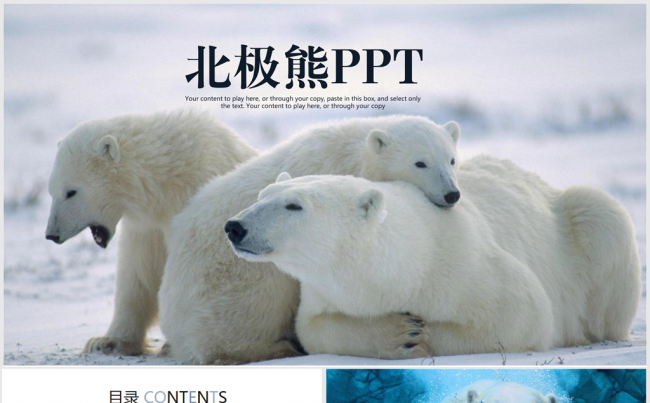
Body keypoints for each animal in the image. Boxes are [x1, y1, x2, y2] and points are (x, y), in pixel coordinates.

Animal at [45, 109, 258, 356]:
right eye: (51, 191)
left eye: (71, 192)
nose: (51, 234)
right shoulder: (147, 228)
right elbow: (138, 274)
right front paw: (107, 341)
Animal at [158, 115, 462, 364]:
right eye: (420, 162)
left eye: (451, 159)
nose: (452, 194)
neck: (355, 153)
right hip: (228, 285)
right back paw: (278, 348)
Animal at [226, 159, 640, 358]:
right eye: (262, 195)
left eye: (294, 205)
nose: (235, 227)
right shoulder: (323, 291)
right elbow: (313, 328)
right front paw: (401, 334)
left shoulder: (466, 266)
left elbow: (523, 315)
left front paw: (420, 335)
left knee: (600, 213)